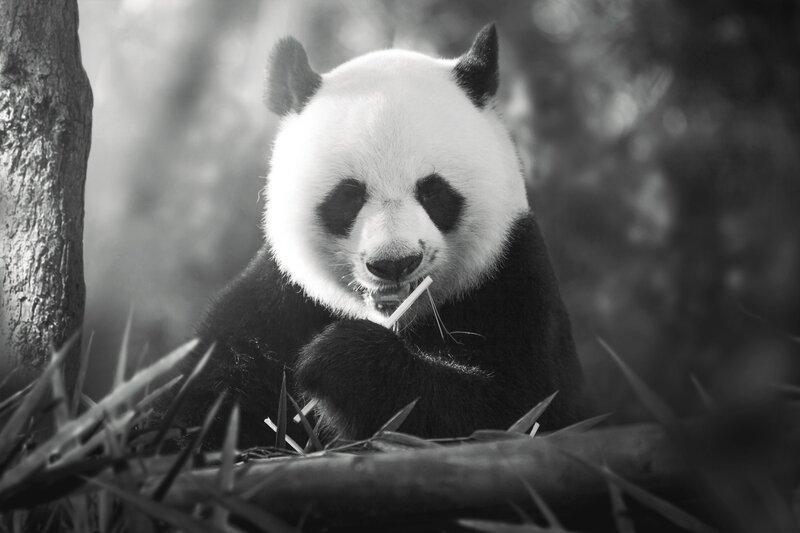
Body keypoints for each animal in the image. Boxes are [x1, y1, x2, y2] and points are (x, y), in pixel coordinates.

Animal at [170, 24, 586, 448]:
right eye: (348, 195)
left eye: (433, 191)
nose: (394, 263)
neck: (397, 320)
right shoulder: (280, 300)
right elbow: (207, 387)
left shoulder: (512, 280)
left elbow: (517, 410)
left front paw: (338, 359)